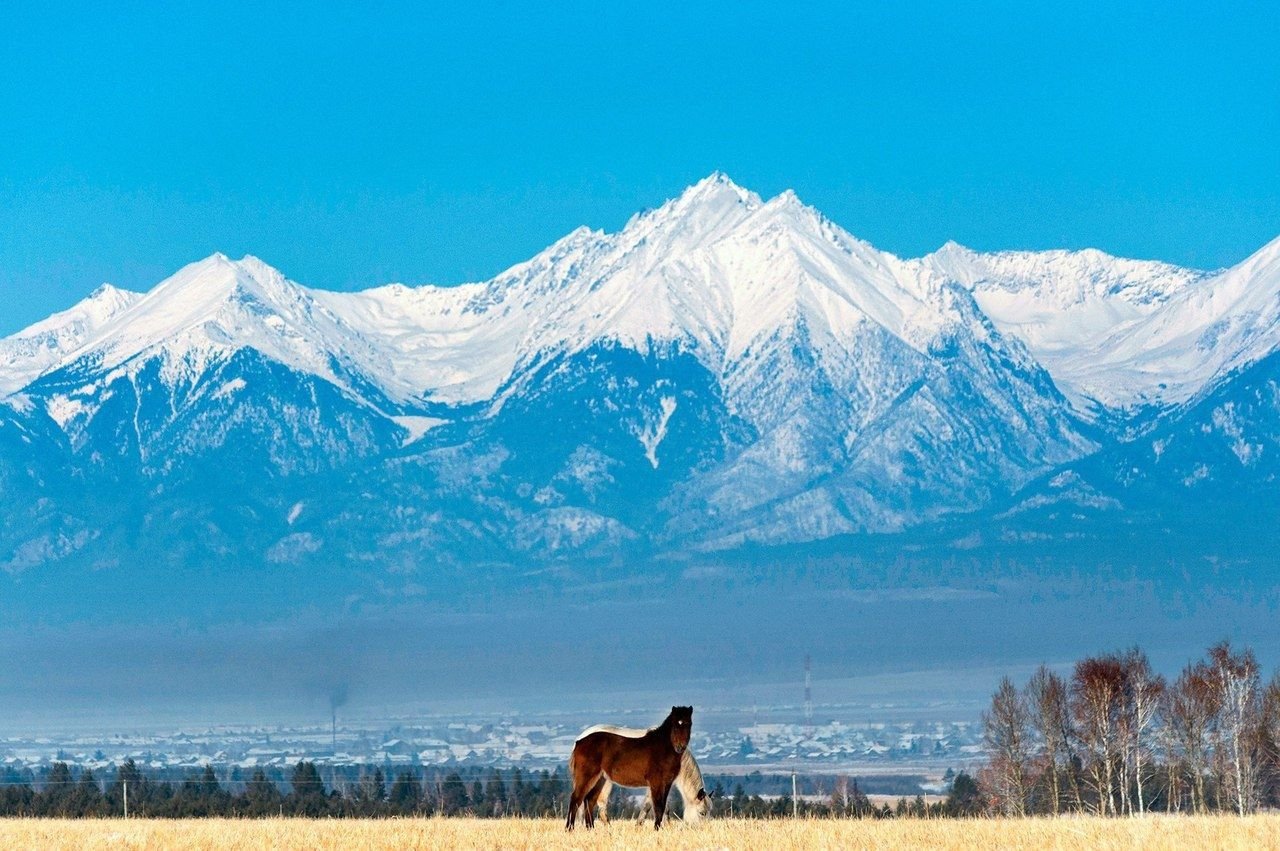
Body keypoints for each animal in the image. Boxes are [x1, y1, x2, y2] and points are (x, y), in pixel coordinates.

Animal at [568, 701, 691, 829]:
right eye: (675, 725)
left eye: (688, 724)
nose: (680, 747)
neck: (662, 748)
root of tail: (579, 742)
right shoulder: (656, 783)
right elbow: (658, 806)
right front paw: (656, 829)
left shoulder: (666, 783)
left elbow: (661, 807)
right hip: (586, 777)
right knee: (575, 799)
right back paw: (570, 829)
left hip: (600, 779)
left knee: (589, 800)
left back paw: (591, 829)